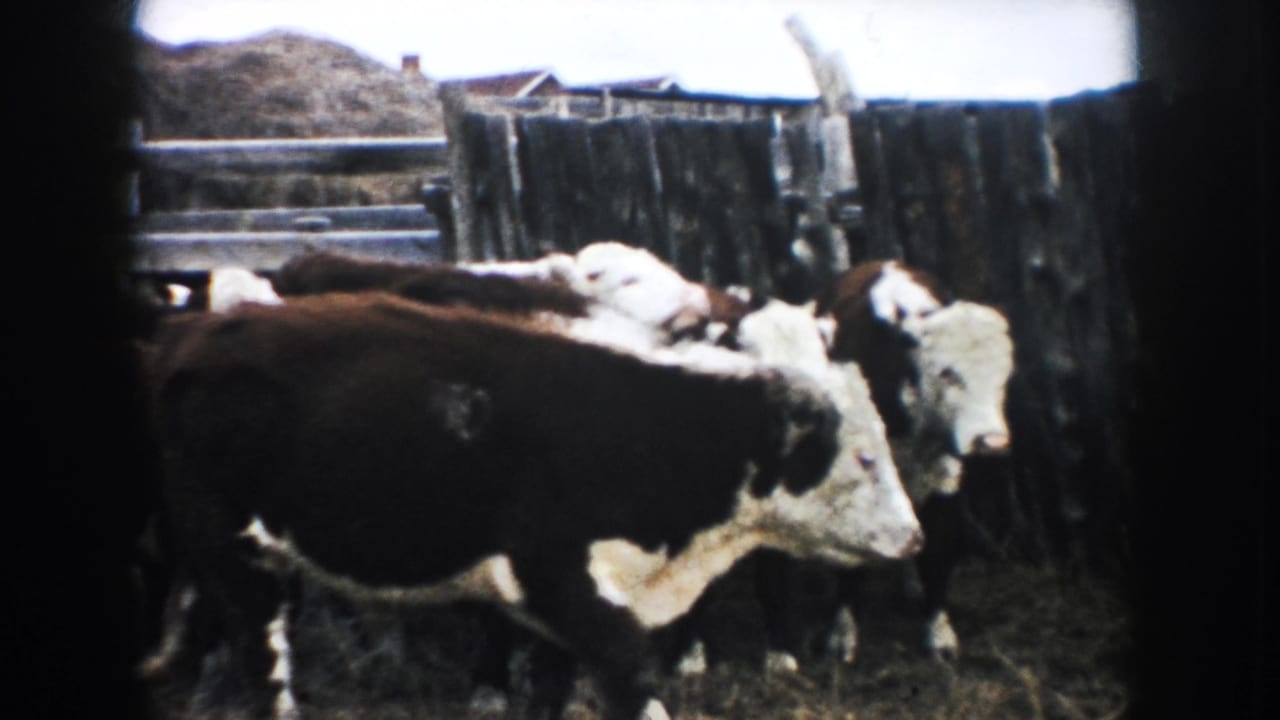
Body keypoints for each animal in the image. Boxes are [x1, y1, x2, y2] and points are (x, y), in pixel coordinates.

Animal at [142, 291, 922, 720]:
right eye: (863, 457)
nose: (913, 538)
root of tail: (191, 334)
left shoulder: (560, 620)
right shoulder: (568, 588)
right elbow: (636, 689)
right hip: (235, 553)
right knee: (265, 663)